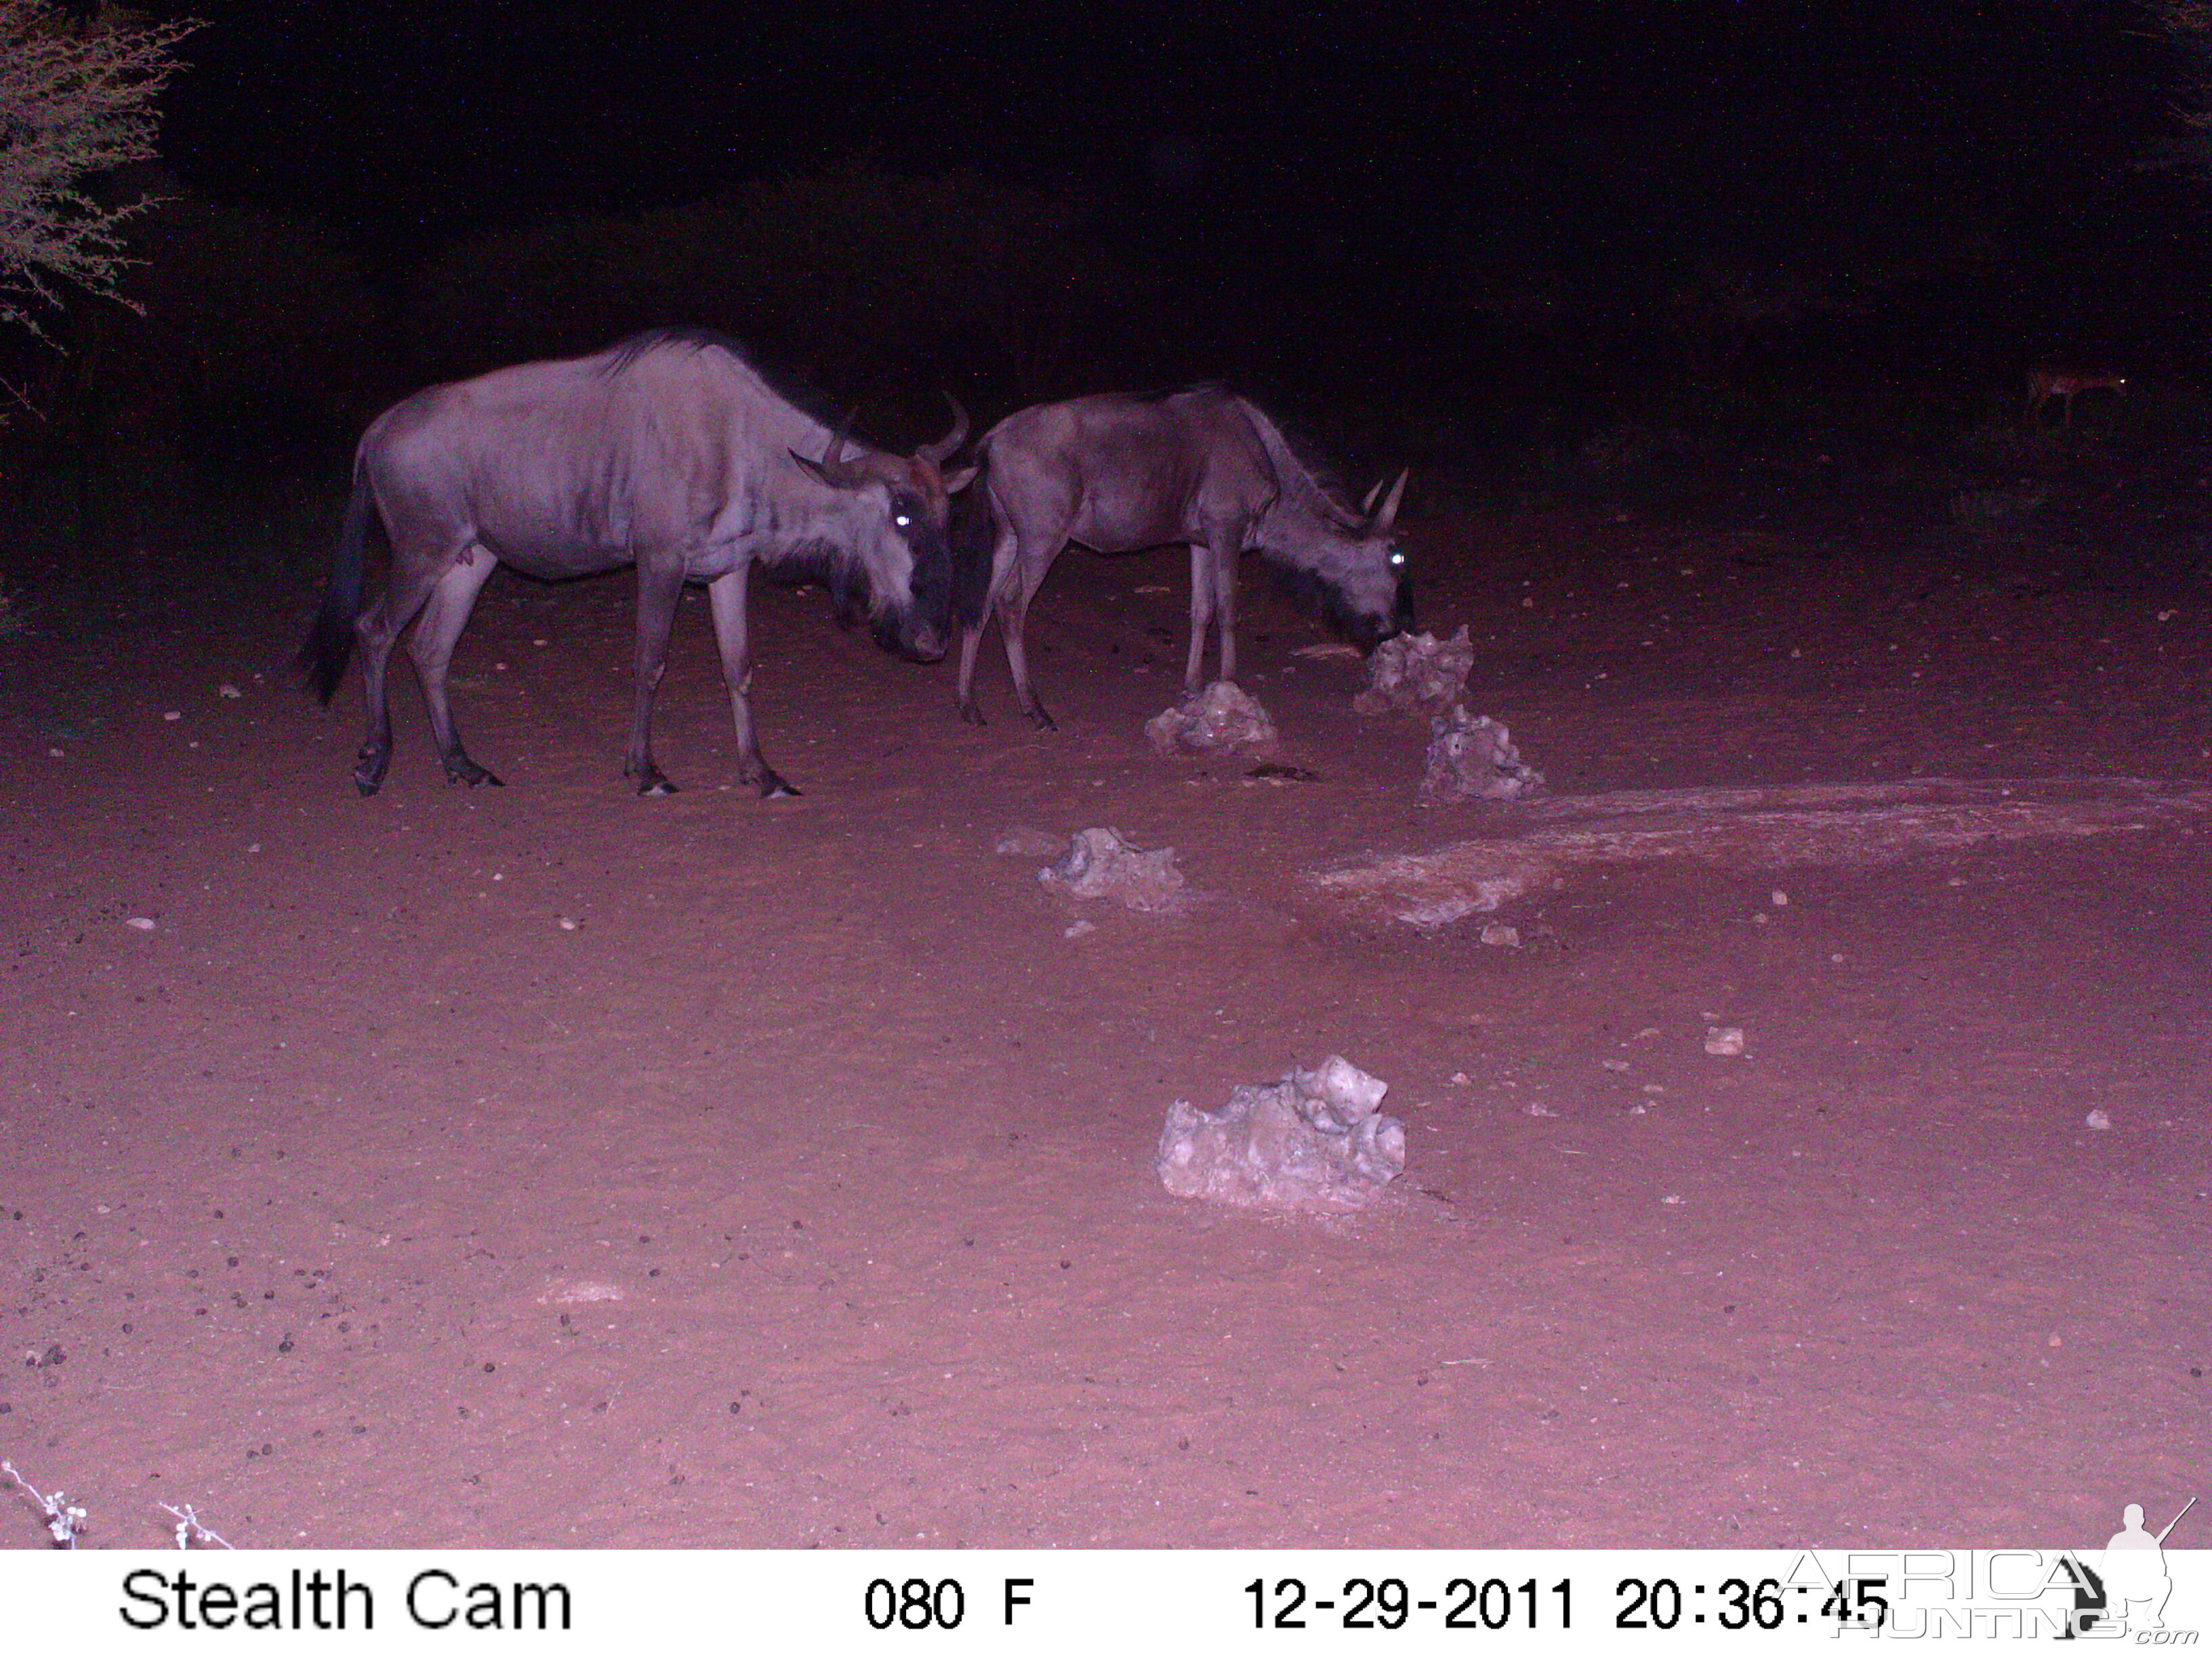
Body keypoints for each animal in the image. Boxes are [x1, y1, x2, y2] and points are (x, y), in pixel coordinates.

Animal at [2026, 369, 2123, 431]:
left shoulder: (2067, 394)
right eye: (2121, 381)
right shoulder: (2071, 392)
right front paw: (2069, 429)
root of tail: (2032, 373)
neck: (2084, 381)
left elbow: (2066, 410)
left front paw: (2066, 427)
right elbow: (2069, 411)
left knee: (2027, 405)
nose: (2124, 393)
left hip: (2032, 390)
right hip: (2044, 391)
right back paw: (2040, 428)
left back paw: (2026, 424)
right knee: (2037, 408)